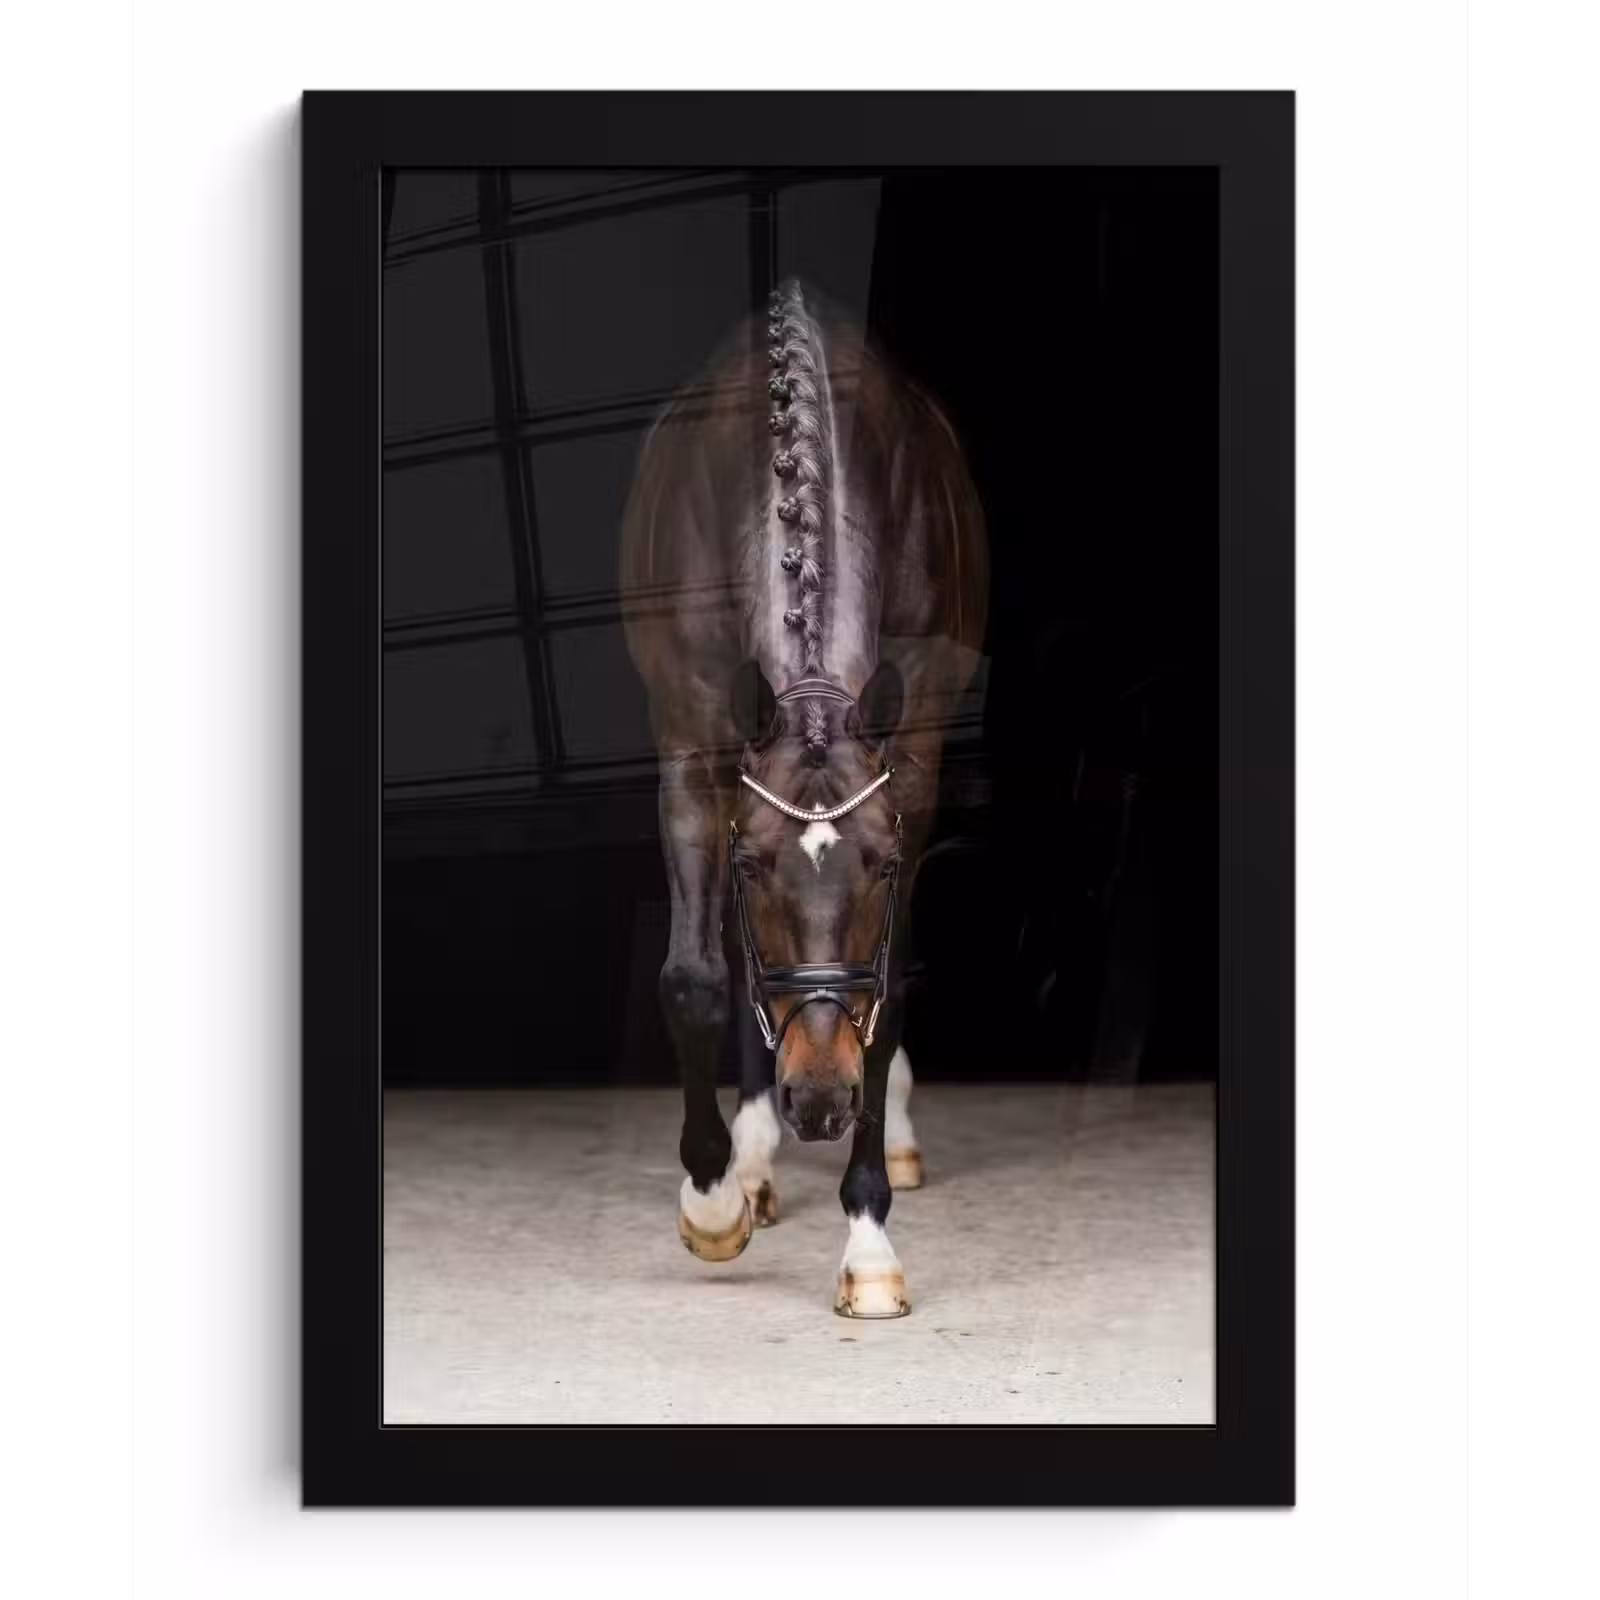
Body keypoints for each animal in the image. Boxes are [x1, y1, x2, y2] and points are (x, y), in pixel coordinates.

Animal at [621, 279, 989, 1317]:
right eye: (753, 867)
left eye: (883, 865)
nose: (820, 1100)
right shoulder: (692, 750)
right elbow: (697, 977)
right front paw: (712, 1200)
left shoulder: (914, 762)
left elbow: (886, 992)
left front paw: (867, 1242)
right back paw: (751, 1162)